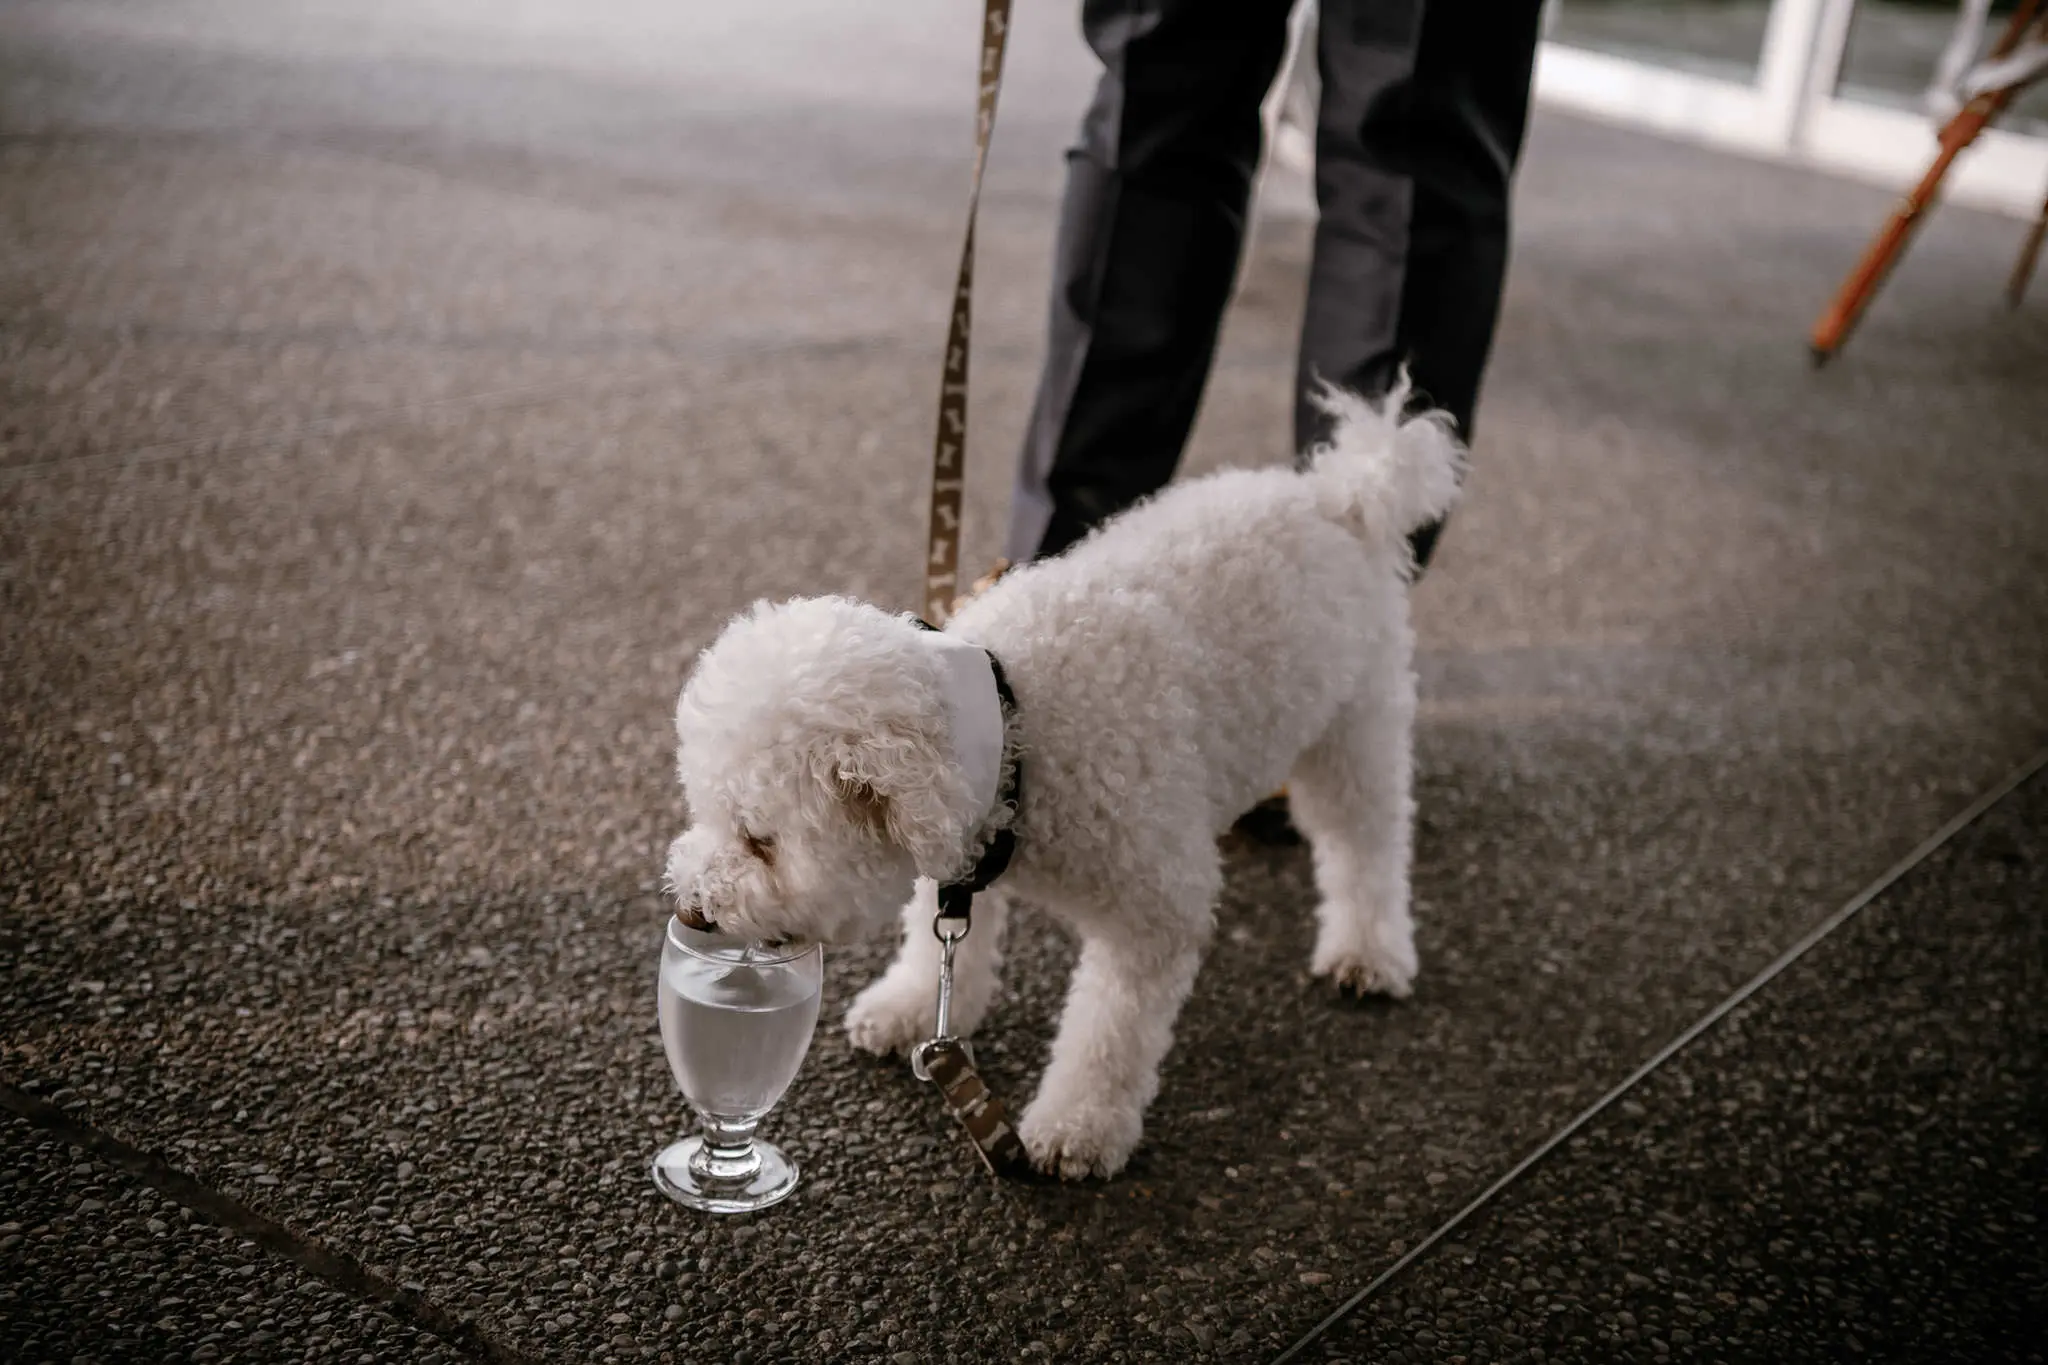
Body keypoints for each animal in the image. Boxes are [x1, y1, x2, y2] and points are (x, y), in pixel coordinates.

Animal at [663, 386, 1466, 1186]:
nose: (691, 908)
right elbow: (943, 947)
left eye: (760, 840)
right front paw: (914, 1005)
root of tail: (1339, 496)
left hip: (1355, 729)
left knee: (1365, 843)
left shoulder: (1153, 909)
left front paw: (1079, 1125)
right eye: (704, 813)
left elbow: (1109, 1033)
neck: (1019, 724)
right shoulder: (963, 851)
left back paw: (1370, 950)